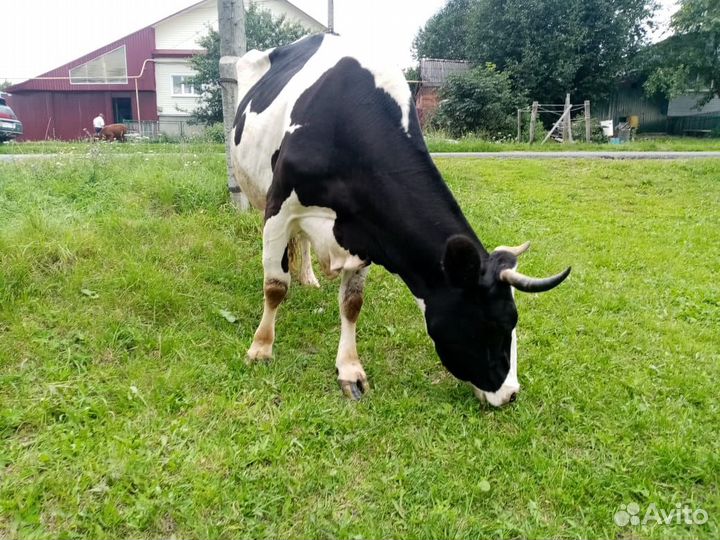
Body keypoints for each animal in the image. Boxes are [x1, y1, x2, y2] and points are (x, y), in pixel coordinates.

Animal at [230, 34, 570, 407]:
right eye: (496, 324)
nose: (511, 394)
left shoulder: (366, 229)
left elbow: (352, 303)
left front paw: (349, 370)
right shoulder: (279, 208)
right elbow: (275, 285)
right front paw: (261, 348)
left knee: (302, 242)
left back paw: (308, 277)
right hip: (259, 190)